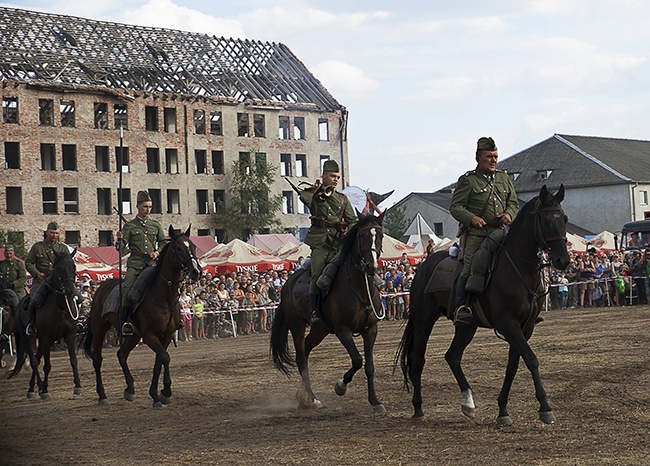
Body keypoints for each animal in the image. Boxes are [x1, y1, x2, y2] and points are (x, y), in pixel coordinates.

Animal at [8, 248, 83, 400]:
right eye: (59, 267)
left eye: (73, 266)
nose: (70, 290)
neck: (61, 308)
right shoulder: (46, 338)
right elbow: (47, 365)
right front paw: (46, 391)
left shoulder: (70, 336)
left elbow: (73, 360)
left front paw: (78, 386)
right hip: (28, 338)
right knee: (33, 360)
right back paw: (40, 386)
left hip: (42, 341)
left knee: (36, 358)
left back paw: (32, 388)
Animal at [83, 228, 200, 406]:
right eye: (179, 248)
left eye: (193, 246)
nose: (196, 272)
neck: (164, 297)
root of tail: (100, 288)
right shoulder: (150, 336)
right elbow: (165, 358)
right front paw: (165, 392)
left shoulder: (165, 336)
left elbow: (159, 362)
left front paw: (157, 394)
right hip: (99, 330)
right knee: (97, 359)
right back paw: (102, 395)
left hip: (133, 335)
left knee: (122, 354)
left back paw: (130, 389)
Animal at [268, 211, 384, 412]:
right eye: (362, 236)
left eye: (380, 236)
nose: (372, 267)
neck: (359, 288)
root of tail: (287, 284)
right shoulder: (342, 330)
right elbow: (357, 360)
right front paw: (340, 386)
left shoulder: (371, 330)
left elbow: (369, 366)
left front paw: (375, 401)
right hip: (297, 325)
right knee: (301, 358)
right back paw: (312, 398)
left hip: (320, 330)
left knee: (305, 351)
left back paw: (303, 395)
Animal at [394, 184, 568, 424]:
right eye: (547, 221)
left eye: (564, 219)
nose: (563, 260)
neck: (518, 270)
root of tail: (423, 267)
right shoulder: (508, 324)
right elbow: (531, 359)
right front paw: (545, 407)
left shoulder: (526, 327)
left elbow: (513, 366)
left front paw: (503, 410)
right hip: (423, 321)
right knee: (417, 360)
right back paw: (418, 409)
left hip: (467, 326)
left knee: (453, 356)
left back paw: (468, 403)